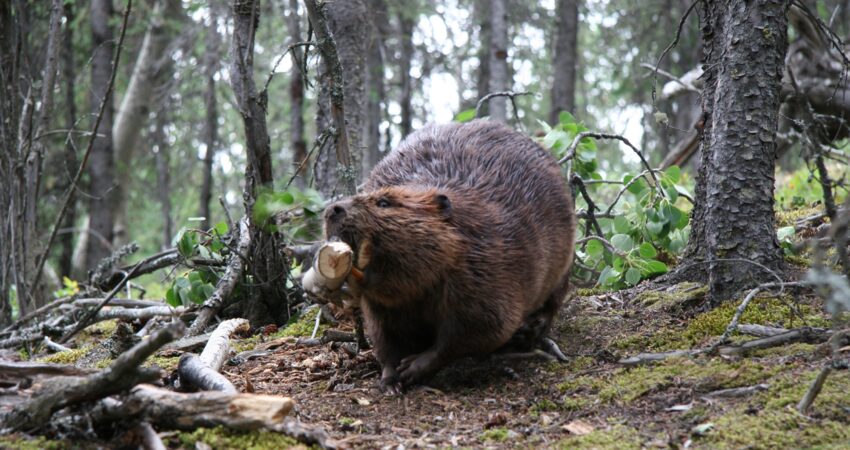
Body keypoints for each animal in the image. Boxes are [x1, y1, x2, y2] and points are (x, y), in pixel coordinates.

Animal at [322, 119, 572, 394]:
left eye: (384, 203)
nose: (333, 209)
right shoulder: (380, 307)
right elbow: (386, 339)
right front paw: (390, 381)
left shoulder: (486, 271)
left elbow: (480, 331)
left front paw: (413, 367)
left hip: (563, 260)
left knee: (554, 300)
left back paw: (531, 329)